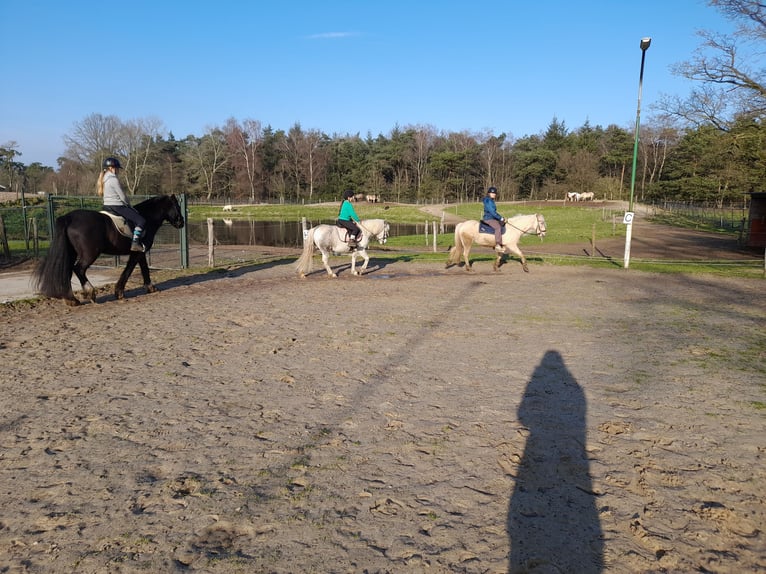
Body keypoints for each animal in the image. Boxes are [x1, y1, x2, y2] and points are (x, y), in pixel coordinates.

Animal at [33, 196, 186, 306]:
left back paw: (72, 300)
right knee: (79, 269)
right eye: (177, 206)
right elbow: (129, 270)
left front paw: (150, 288)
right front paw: (119, 292)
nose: (181, 222)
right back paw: (90, 293)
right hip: (90, 254)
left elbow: (144, 269)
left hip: (72, 253)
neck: (147, 218)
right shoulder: (137, 252)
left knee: (68, 270)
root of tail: (69, 218)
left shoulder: (140, 252)